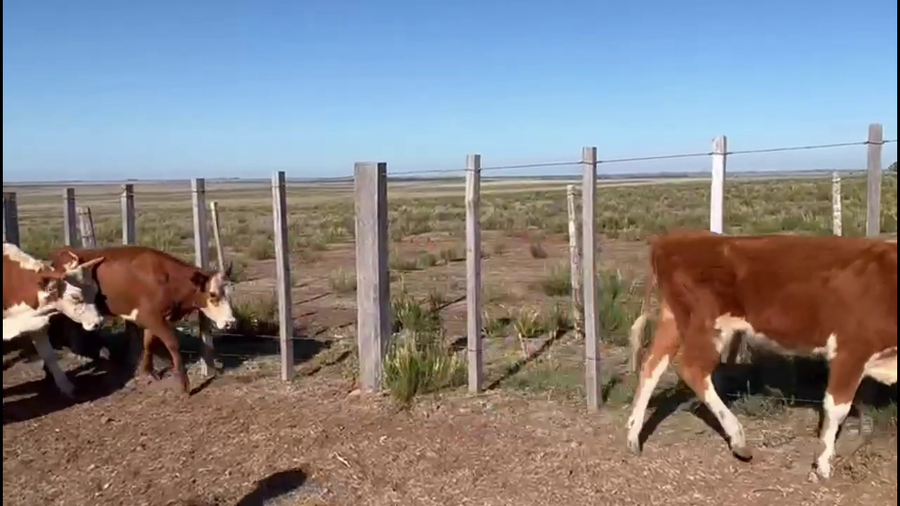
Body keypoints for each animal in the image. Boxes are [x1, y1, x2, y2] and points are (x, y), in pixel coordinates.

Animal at [3, 243, 106, 397]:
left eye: (95, 292)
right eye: (75, 297)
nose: (98, 322)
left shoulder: (37, 325)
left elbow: (49, 355)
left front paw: (66, 387)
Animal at [49, 245, 237, 394]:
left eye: (229, 292)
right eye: (212, 294)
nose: (231, 321)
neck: (166, 280)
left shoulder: (154, 318)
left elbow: (148, 343)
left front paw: (147, 372)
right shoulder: (153, 317)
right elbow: (172, 344)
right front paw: (183, 384)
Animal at [625, 232, 897, 482]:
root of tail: (674, 238)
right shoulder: (851, 350)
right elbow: (836, 407)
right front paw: (822, 465)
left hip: (673, 319)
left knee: (651, 366)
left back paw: (632, 436)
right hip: (708, 323)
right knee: (692, 369)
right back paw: (738, 439)